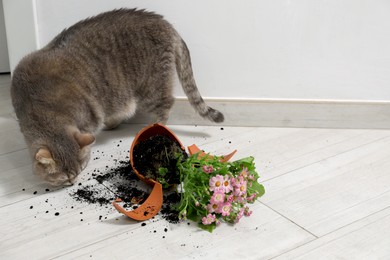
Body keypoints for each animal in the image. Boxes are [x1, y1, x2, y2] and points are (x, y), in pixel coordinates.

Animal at [10, 8, 224, 186]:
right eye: (64, 178)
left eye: (79, 171)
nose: (72, 183)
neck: (39, 105)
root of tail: (168, 25)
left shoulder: (88, 119)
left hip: (151, 88)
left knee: (165, 105)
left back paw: (154, 126)